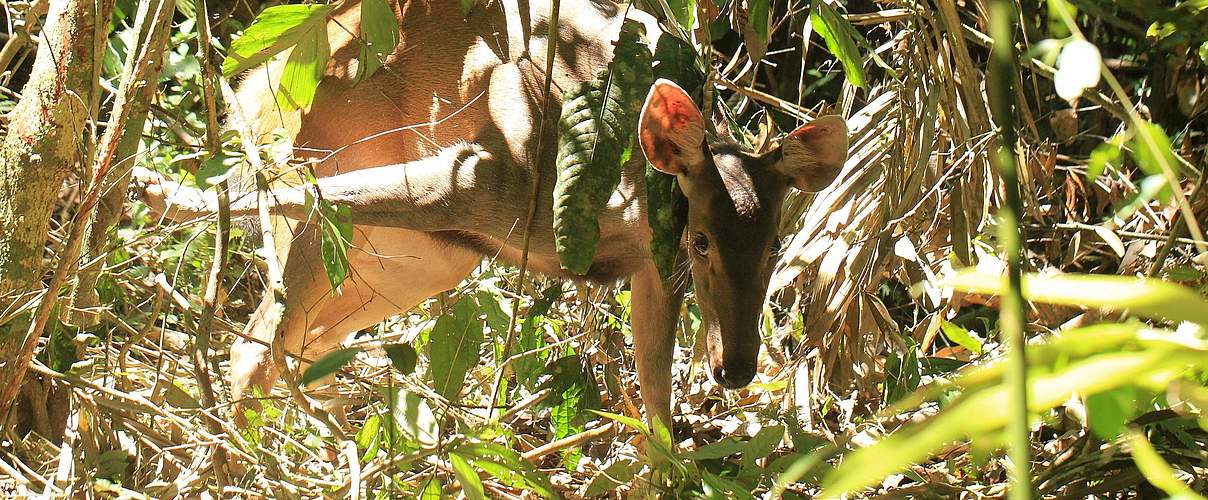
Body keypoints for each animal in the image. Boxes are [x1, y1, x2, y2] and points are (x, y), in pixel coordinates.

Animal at [134, 0, 850, 432]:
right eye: (701, 241)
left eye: (775, 246)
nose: (738, 367)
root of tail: (257, 77)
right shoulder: (482, 173)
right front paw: (159, 191)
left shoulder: (650, 268)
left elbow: (655, 397)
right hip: (324, 149)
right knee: (254, 343)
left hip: (425, 257)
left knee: (295, 341)